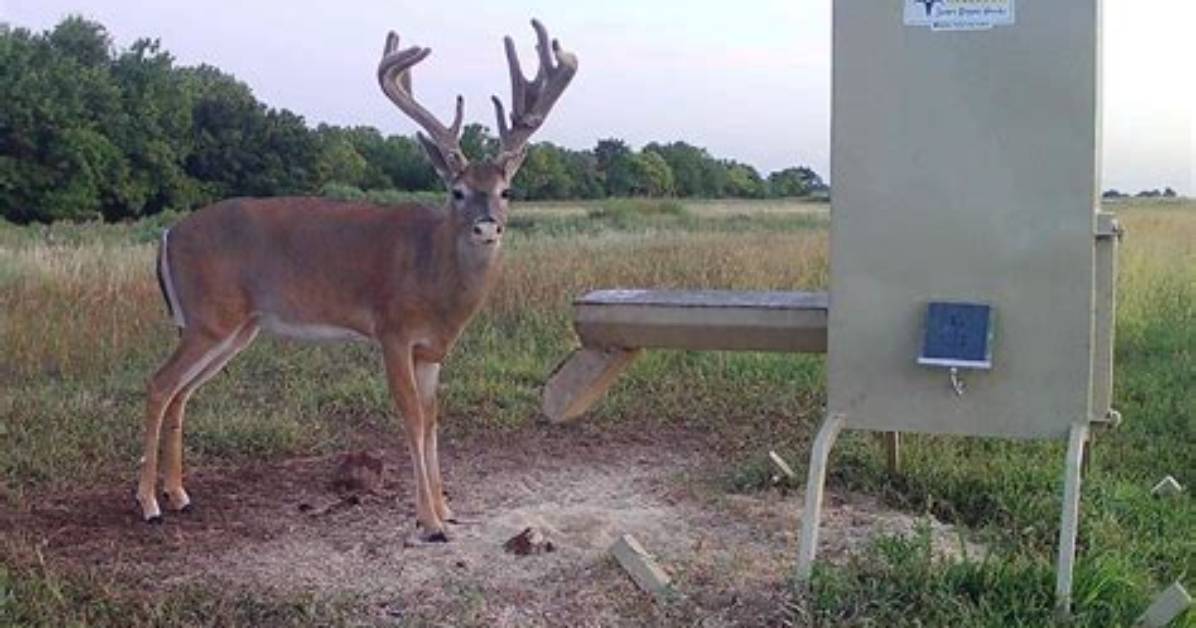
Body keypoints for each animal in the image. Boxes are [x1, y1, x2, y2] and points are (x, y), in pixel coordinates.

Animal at [136, 19, 577, 542]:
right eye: (457, 190)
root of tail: (167, 233)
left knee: (181, 392)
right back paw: (148, 503)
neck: (435, 275)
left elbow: (433, 421)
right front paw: (429, 521)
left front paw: (447, 508)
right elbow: (412, 419)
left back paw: (178, 494)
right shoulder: (392, 330)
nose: (486, 226)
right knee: (159, 384)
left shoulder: (432, 350)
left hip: (233, 328)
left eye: (506, 190)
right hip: (210, 318)